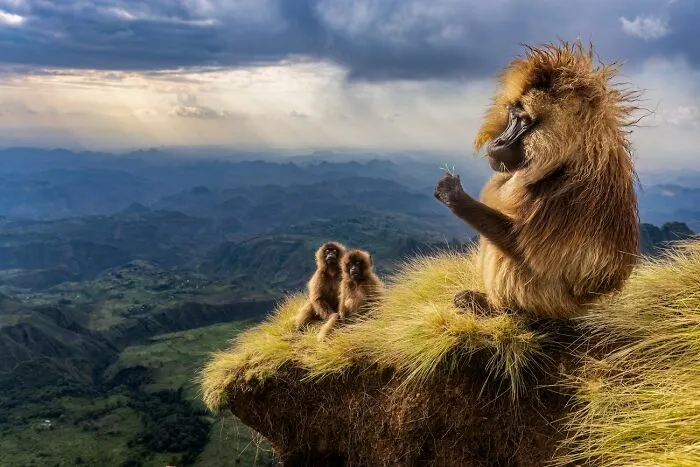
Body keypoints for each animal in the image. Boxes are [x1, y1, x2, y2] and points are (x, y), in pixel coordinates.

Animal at [434, 41, 640, 319]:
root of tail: (584, 305)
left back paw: (495, 308)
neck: (568, 155)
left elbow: (527, 251)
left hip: (549, 301)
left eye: (524, 121)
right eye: (512, 115)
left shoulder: (563, 192)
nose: (498, 142)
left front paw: (453, 194)